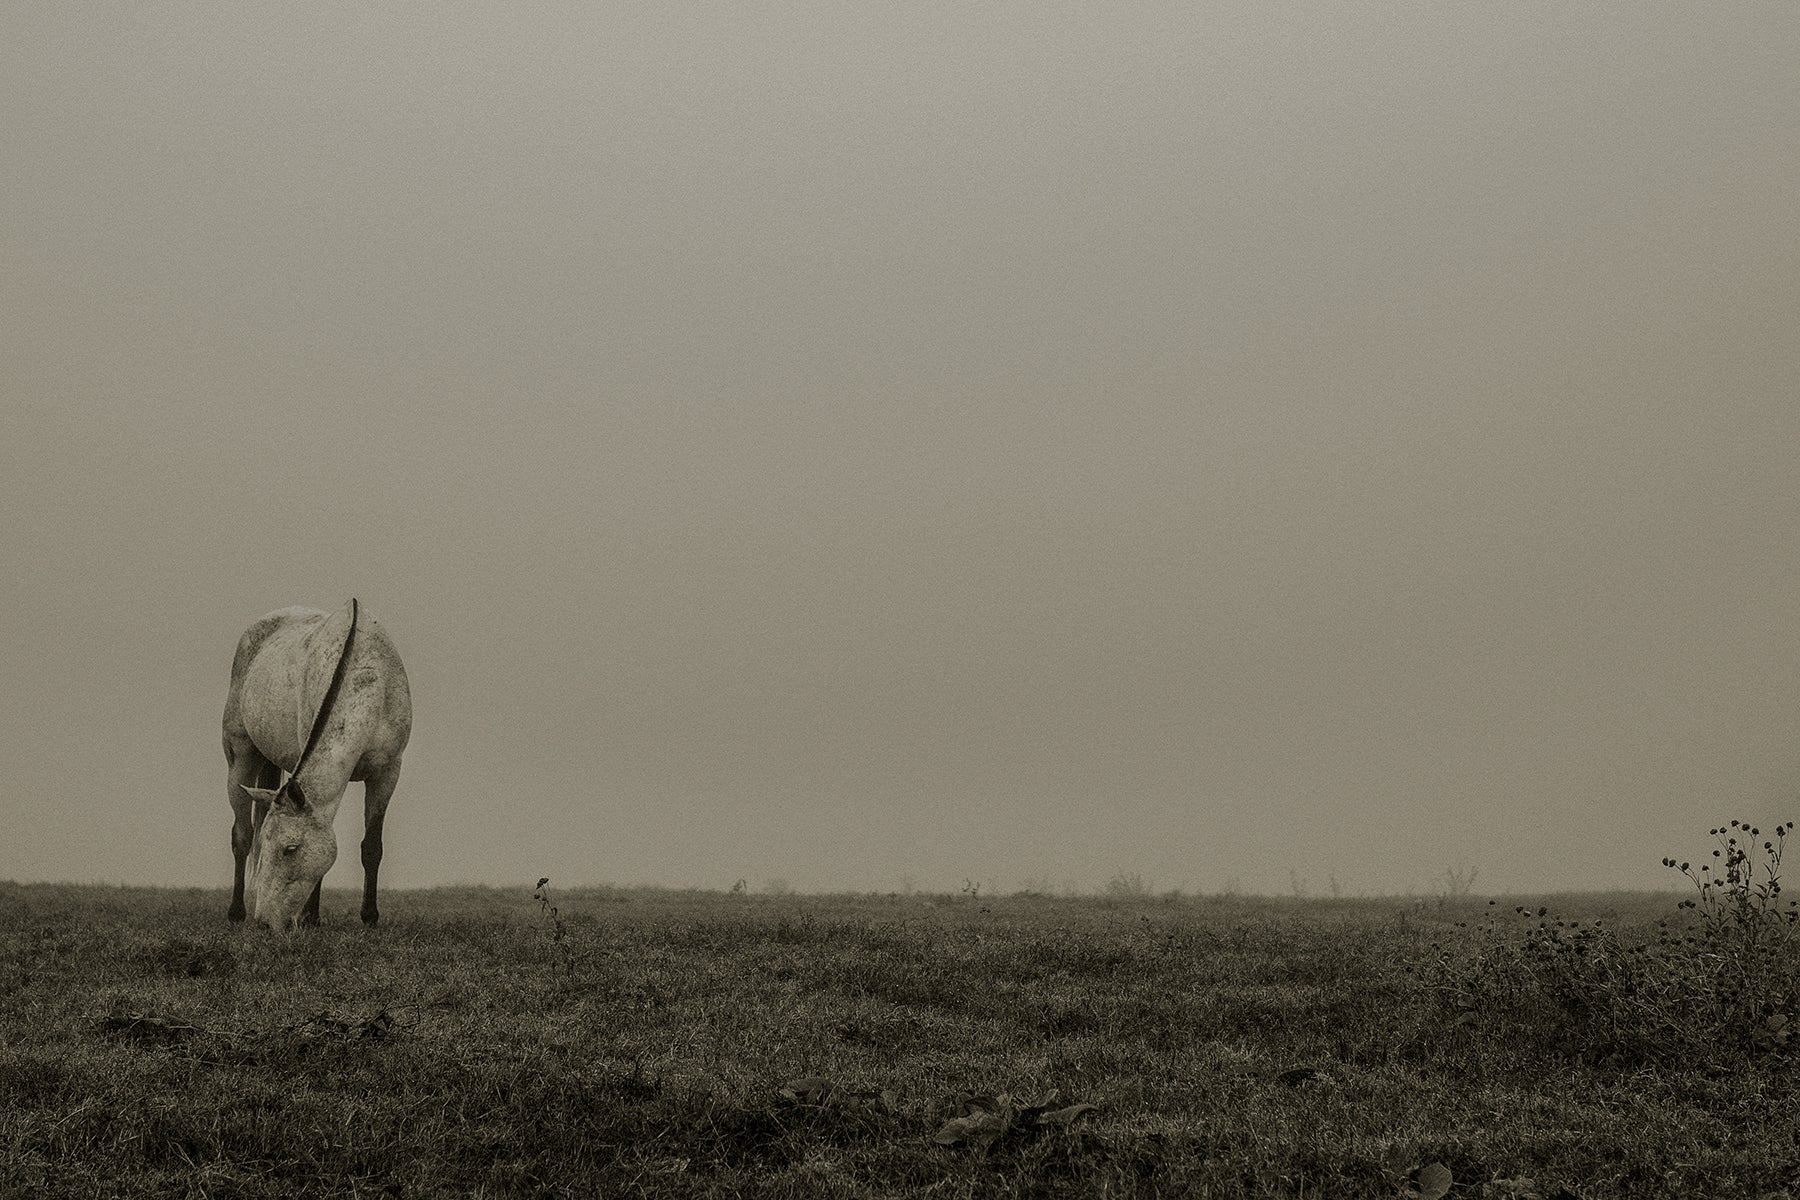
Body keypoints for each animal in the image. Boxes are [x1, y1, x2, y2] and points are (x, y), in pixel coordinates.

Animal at [221, 600, 412, 929]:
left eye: (290, 849)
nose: (264, 922)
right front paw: (310, 917)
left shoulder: (387, 773)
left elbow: (372, 847)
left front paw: (370, 917)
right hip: (239, 759)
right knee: (242, 836)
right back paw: (235, 913)